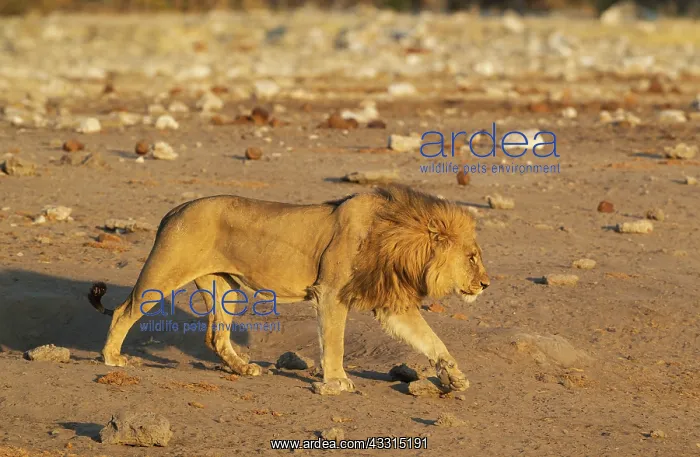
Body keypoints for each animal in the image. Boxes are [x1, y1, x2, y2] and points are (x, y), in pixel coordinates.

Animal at [88, 184, 490, 394]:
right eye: (472, 257)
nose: (486, 284)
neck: (398, 238)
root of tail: (175, 209)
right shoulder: (330, 293)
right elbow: (334, 342)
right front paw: (336, 381)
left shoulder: (392, 306)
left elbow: (431, 340)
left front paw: (454, 375)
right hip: (165, 272)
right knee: (124, 311)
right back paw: (112, 357)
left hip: (224, 288)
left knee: (216, 336)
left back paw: (243, 369)